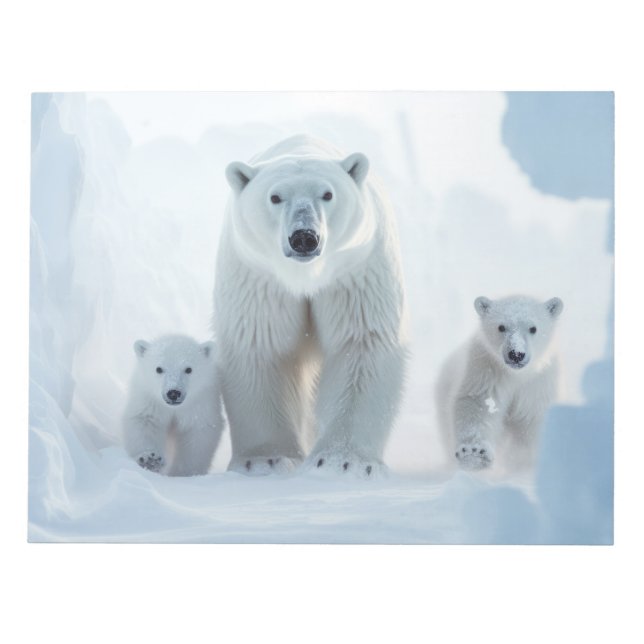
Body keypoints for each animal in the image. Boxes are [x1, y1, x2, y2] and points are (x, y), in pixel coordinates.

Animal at [122, 334, 224, 476]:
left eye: (188, 369)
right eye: (159, 369)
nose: (173, 393)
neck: (174, 408)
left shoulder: (200, 402)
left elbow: (197, 435)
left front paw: (184, 472)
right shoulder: (149, 398)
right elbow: (144, 421)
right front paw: (150, 459)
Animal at [213, 135, 408, 477]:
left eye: (327, 193)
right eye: (275, 196)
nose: (304, 237)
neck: (305, 276)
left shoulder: (355, 272)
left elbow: (360, 344)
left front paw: (343, 461)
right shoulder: (260, 279)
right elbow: (261, 347)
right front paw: (265, 460)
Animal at [435, 295, 564, 472]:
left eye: (533, 328)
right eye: (501, 327)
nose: (516, 354)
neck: (517, 375)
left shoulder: (539, 382)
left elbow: (533, 416)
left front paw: (526, 463)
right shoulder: (487, 368)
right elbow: (479, 403)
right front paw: (474, 453)